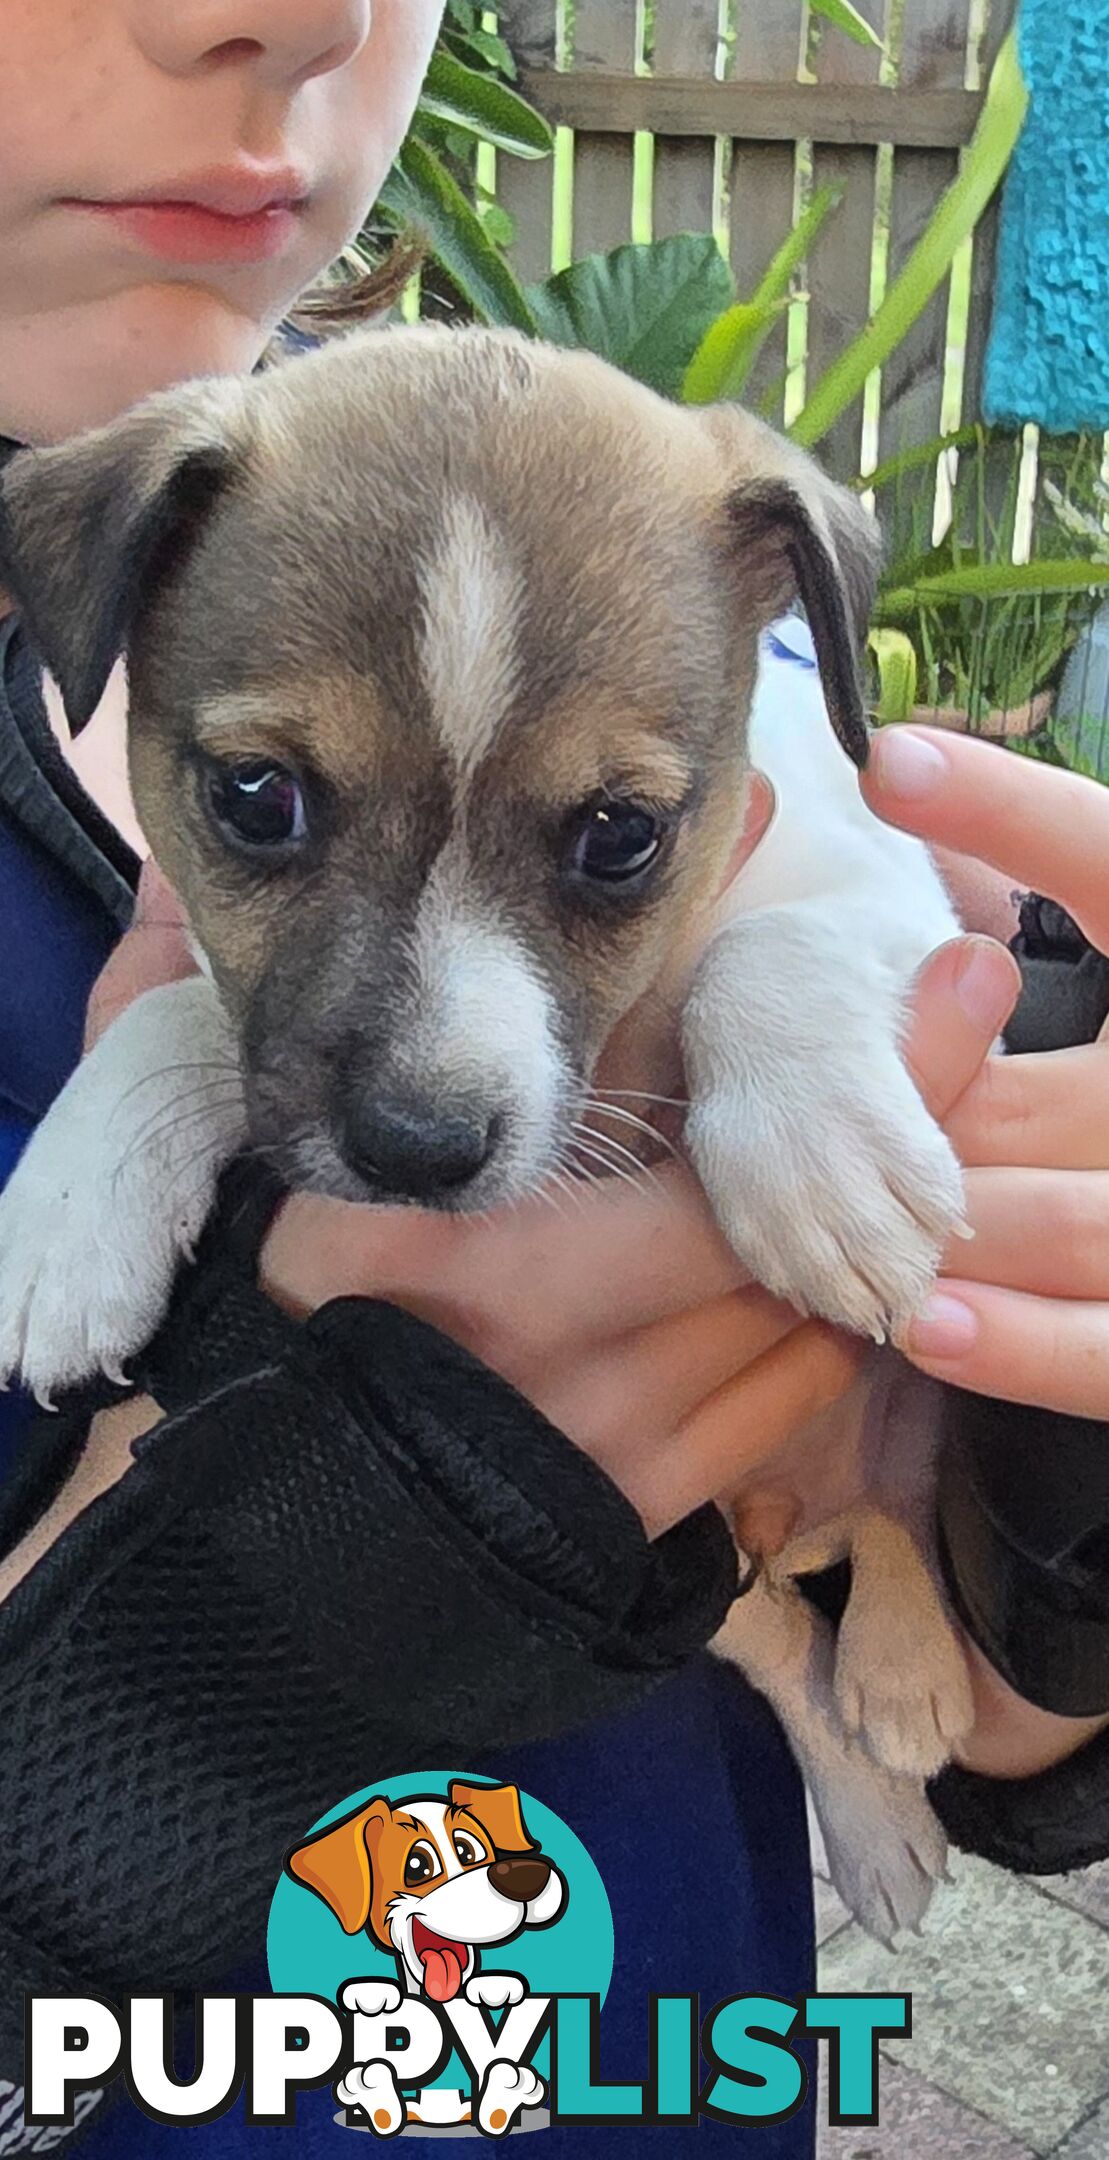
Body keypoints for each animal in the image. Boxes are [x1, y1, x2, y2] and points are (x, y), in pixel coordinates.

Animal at [0, 319, 968, 1944]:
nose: (415, 1148)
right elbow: (181, 1015)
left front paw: (820, 1163)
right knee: (781, 1628)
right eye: (255, 799)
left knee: (905, 1511)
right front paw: (70, 1219)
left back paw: (907, 1669)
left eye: (620, 835)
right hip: (690, 1560)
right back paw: (876, 1791)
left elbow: (768, 948)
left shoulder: (909, 895)